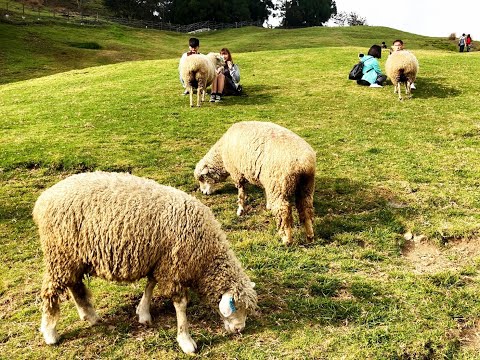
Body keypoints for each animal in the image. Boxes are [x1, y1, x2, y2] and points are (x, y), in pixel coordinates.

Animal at [31, 172, 256, 354]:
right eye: (238, 307)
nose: (240, 330)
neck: (206, 255)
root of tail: (42, 200)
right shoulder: (173, 267)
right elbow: (180, 306)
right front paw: (186, 341)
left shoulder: (160, 261)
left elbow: (150, 285)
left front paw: (143, 313)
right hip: (59, 254)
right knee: (50, 291)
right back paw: (50, 333)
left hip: (72, 256)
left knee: (74, 284)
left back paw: (90, 316)